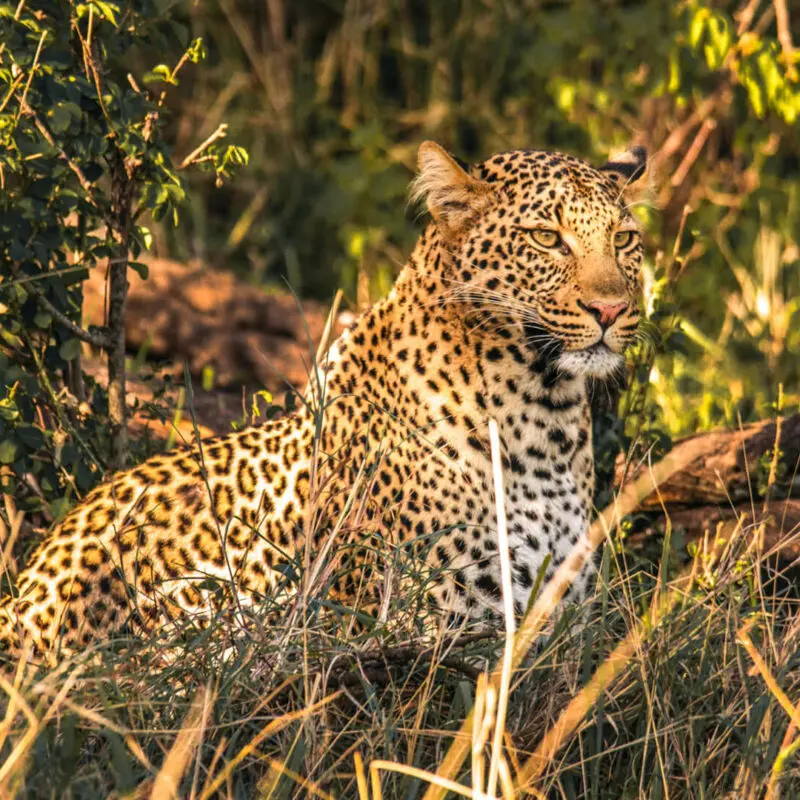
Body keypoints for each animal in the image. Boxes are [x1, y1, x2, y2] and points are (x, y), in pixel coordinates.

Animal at [0, 140, 647, 661]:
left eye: (624, 239)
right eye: (546, 238)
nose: (612, 309)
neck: (546, 423)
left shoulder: (564, 624)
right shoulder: (425, 630)